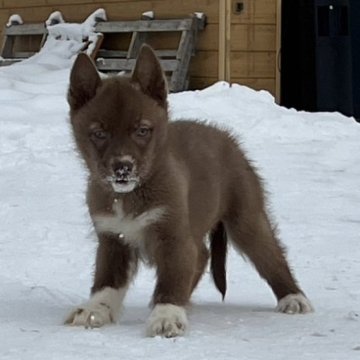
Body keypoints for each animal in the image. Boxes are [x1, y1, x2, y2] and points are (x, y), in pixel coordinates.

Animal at [66, 45, 314, 338]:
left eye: (142, 130)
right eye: (99, 134)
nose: (122, 167)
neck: (128, 196)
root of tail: (227, 138)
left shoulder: (174, 235)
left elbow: (172, 278)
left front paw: (166, 315)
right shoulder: (112, 238)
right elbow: (106, 280)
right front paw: (96, 310)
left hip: (246, 218)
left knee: (271, 255)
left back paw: (294, 298)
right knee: (203, 254)